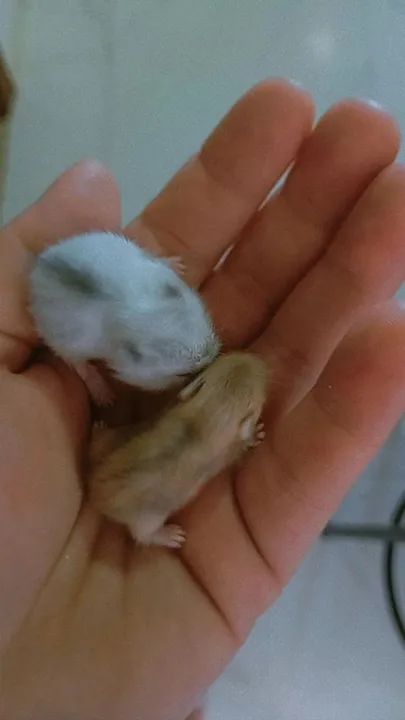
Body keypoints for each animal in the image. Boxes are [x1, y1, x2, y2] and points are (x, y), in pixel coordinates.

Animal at [29, 231, 219, 405]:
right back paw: (104, 397)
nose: (211, 357)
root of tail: (38, 267)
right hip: (63, 343)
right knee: (80, 367)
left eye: (210, 333)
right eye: (183, 374)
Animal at [88, 352, 268, 548]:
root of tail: (94, 491)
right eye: (259, 383)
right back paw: (169, 535)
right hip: (147, 518)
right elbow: (241, 445)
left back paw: (98, 430)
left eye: (226, 359)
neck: (210, 414)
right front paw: (255, 434)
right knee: (143, 535)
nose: (253, 358)